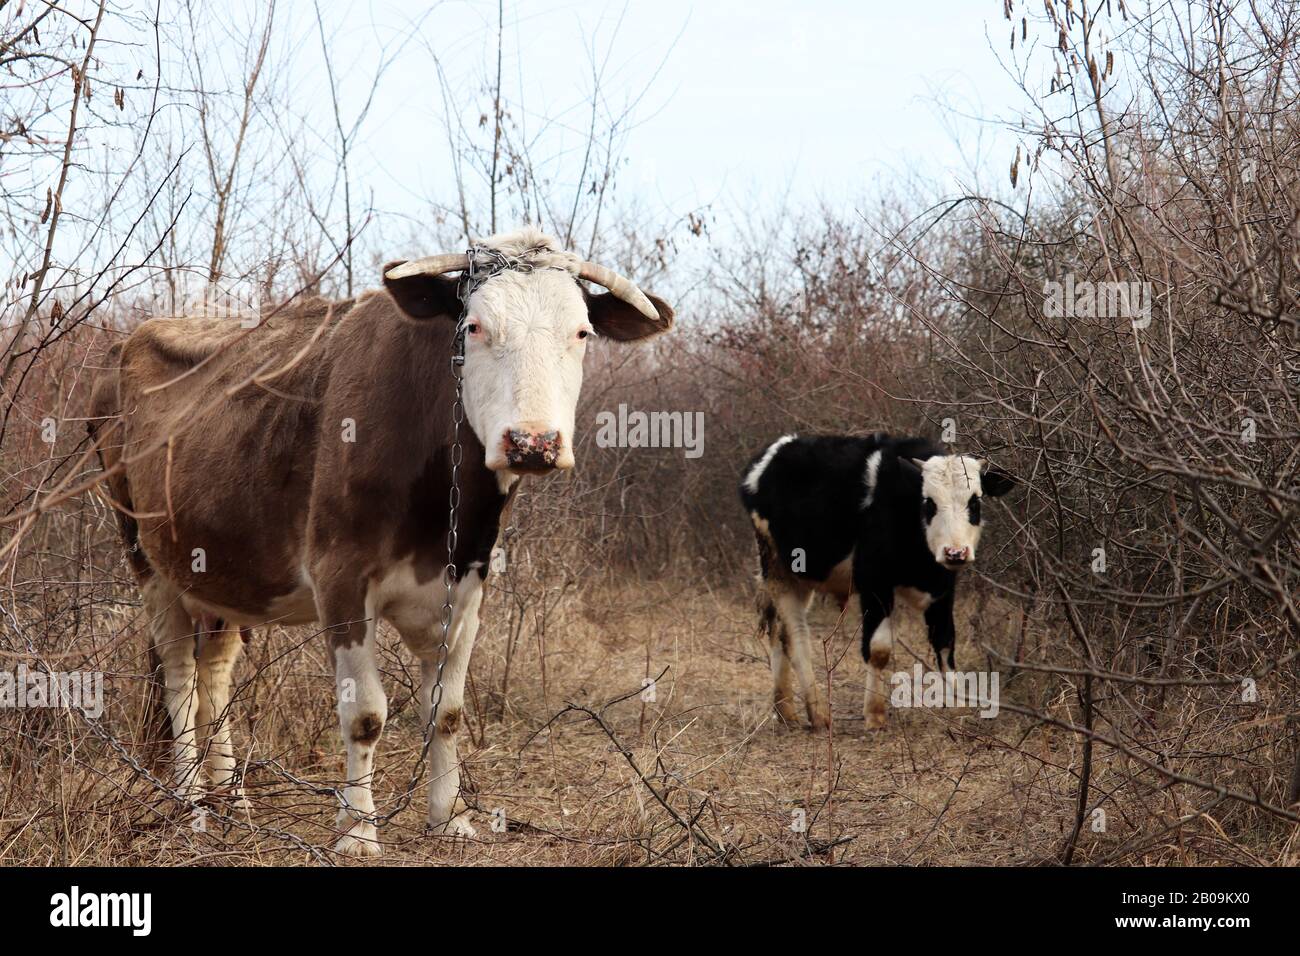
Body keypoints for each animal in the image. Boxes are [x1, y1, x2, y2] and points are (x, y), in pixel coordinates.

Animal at [87, 227, 674, 856]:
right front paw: (358, 831)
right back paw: (191, 800)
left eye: (582, 332)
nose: (532, 443)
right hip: (144, 553)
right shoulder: (339, 576)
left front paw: (448, 817)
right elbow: (365, 714)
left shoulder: (469, 582)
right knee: (179, 672)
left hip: (220, 566)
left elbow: (448, 711)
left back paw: (232, 801)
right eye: (475, 327)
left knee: (215, 671)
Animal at [738, 432, 1014, 731]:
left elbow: (944, 641)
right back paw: (818, 713)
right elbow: (879, 649)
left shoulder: (944, 587)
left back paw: (786, 710)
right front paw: (874, 714)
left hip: (799, 576)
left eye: (974, 502)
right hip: (777, 570)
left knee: (779, 631)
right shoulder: (874, 584)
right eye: (929, 503)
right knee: (796, 635)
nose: (955, 552)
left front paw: (955, 708)